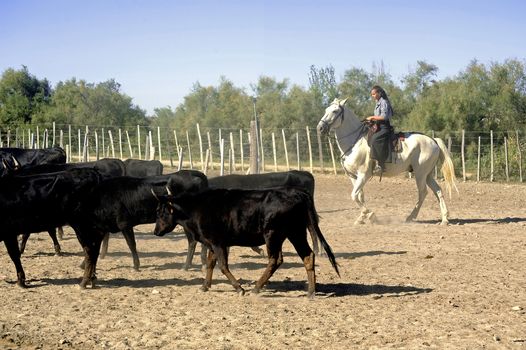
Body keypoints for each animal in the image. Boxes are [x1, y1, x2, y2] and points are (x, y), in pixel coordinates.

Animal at [318, 97, 458, 226]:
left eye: (335, 111)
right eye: (326, 110)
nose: (320, 128)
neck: (355, 142)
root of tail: (433, 140)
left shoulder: (363, 175)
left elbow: (354, 196)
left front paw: (370, 215)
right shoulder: (353, 176)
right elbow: (359, 196)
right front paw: (362, 218)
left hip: (420, 174)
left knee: (423, 192)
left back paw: (411, 216)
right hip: (427, 175)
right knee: (438, 190)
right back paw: (444, 219)